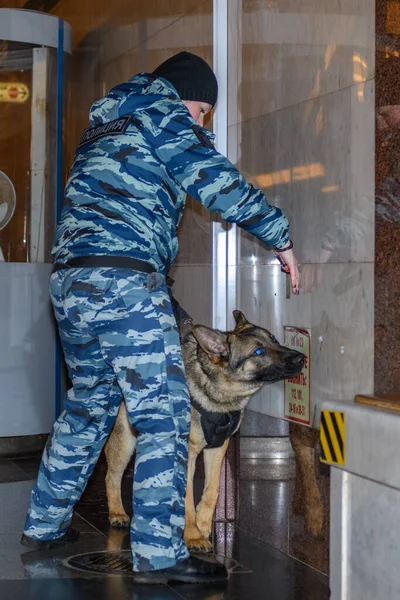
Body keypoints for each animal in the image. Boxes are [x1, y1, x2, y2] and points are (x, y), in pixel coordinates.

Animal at [104, 312, 304, 552]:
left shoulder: (217, 448)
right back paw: (118, 513)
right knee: (111, 477)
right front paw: (192, 535)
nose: (301, 358)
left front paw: (202, 524)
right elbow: (188, 497)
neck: (217, 388)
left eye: (273, 339)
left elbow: (212, 490)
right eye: (258, 352)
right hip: (125, 441)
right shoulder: (187, 455)